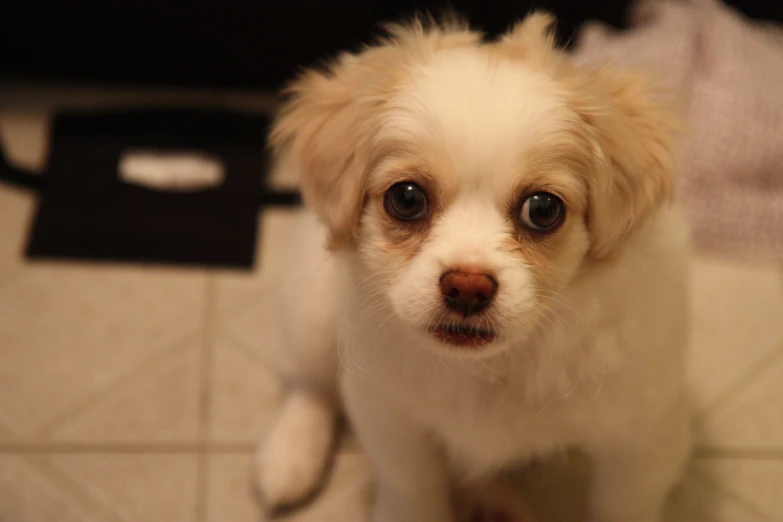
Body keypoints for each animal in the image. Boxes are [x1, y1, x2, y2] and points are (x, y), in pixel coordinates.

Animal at [258, 11, 692, 520]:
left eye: (543, 209)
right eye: (407, 199)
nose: (467, 287)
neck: (493, 368)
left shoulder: (644, 436)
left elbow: (622, 505)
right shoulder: (389, 415)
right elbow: (414, 491)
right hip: (312, 309)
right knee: (309, 383)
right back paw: (288, 461)